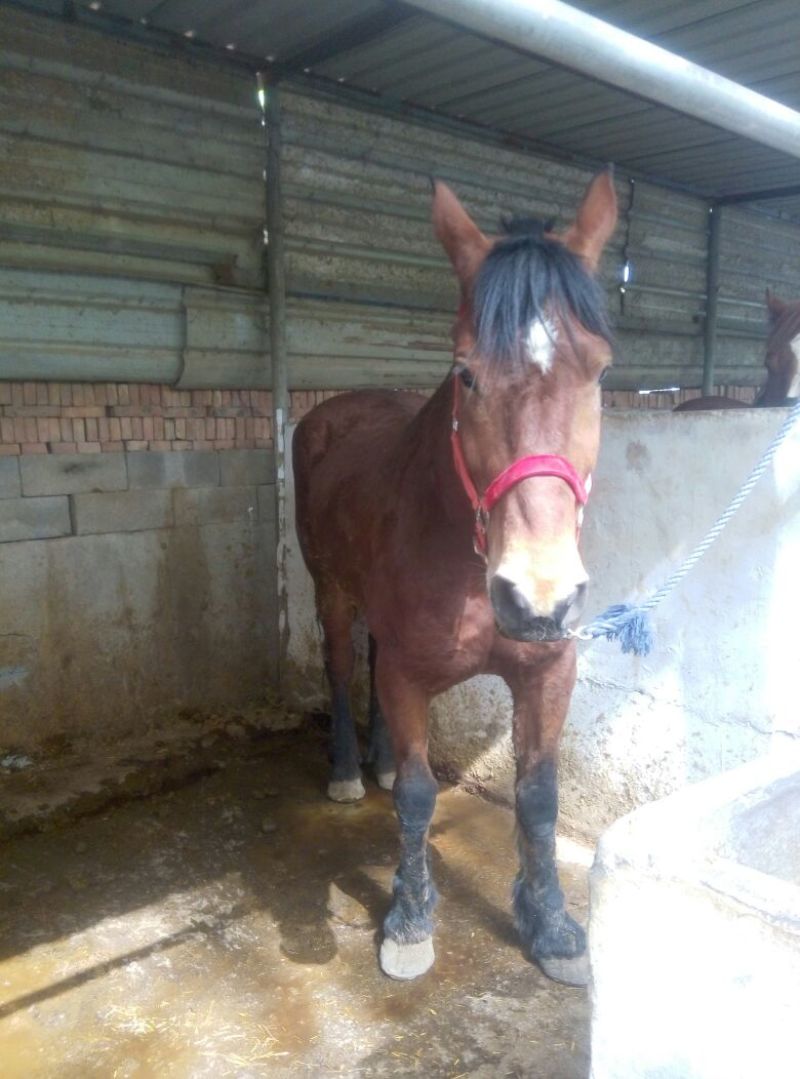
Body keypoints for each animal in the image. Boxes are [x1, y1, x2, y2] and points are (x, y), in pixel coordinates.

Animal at [293, 171, 617, 986]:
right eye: (466, 373)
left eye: (600, 370)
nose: (538, 598)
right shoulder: (411, 677)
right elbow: (417, 796)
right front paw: (409, 920)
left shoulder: (547, 671)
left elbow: (538, 797)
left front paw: (553, 925)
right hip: (330, 592)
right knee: (342, 667)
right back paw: (349, 770)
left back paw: (374, 761)